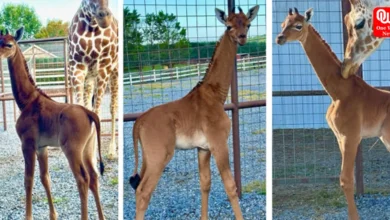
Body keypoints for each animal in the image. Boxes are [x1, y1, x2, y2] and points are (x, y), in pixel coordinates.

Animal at [0, 28, 105, 219]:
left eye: (9, 44)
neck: (27, 101)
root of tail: (90, 113)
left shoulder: (27, 144)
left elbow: (28, 179)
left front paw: (28, 216)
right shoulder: (42, 147)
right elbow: (45, 178)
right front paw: (53, 215)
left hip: (72, 149)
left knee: (82, 179)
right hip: (88, 148)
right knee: (94, 177)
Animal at [68, 0, 118, 157]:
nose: (104, 17)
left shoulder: (104, 66)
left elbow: (97, 112)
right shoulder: (77, 67)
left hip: (114, 72)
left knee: (113, 107)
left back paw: (112, 150)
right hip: (90, 77)